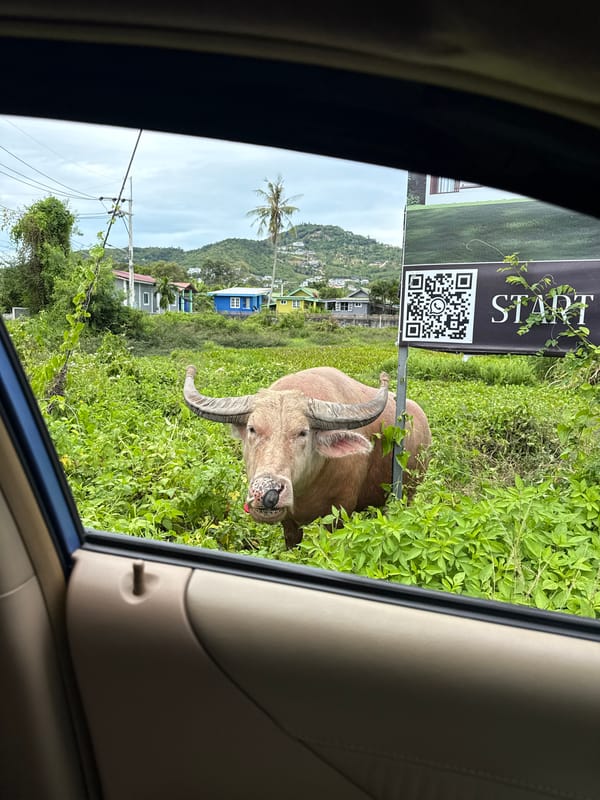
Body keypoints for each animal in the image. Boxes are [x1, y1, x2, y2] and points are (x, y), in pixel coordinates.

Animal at [184, 365, 431, 548]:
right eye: (252, 429)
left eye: (302, 432)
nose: (267, 493)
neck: (306, 486)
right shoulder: (289, 522)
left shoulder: (339, 514)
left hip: (407, 493)